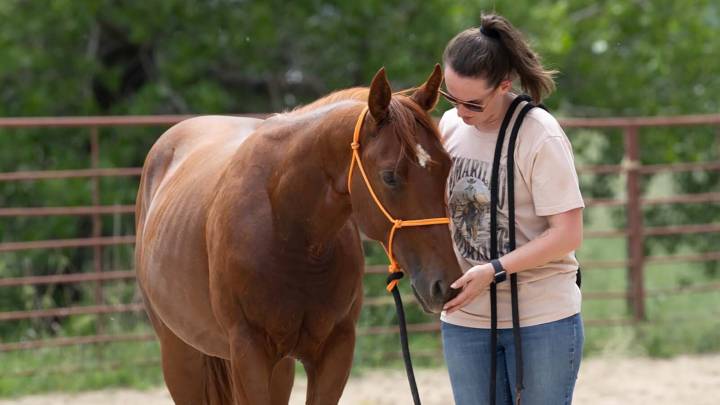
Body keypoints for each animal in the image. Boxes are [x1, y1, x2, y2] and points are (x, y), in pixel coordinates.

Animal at [134, 65, 463, 404]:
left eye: (446, 166)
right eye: (389, 176)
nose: (446, 285)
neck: (291, 233)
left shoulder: (335, 351)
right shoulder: (249, 354)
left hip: (279, 369)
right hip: (180, 356)